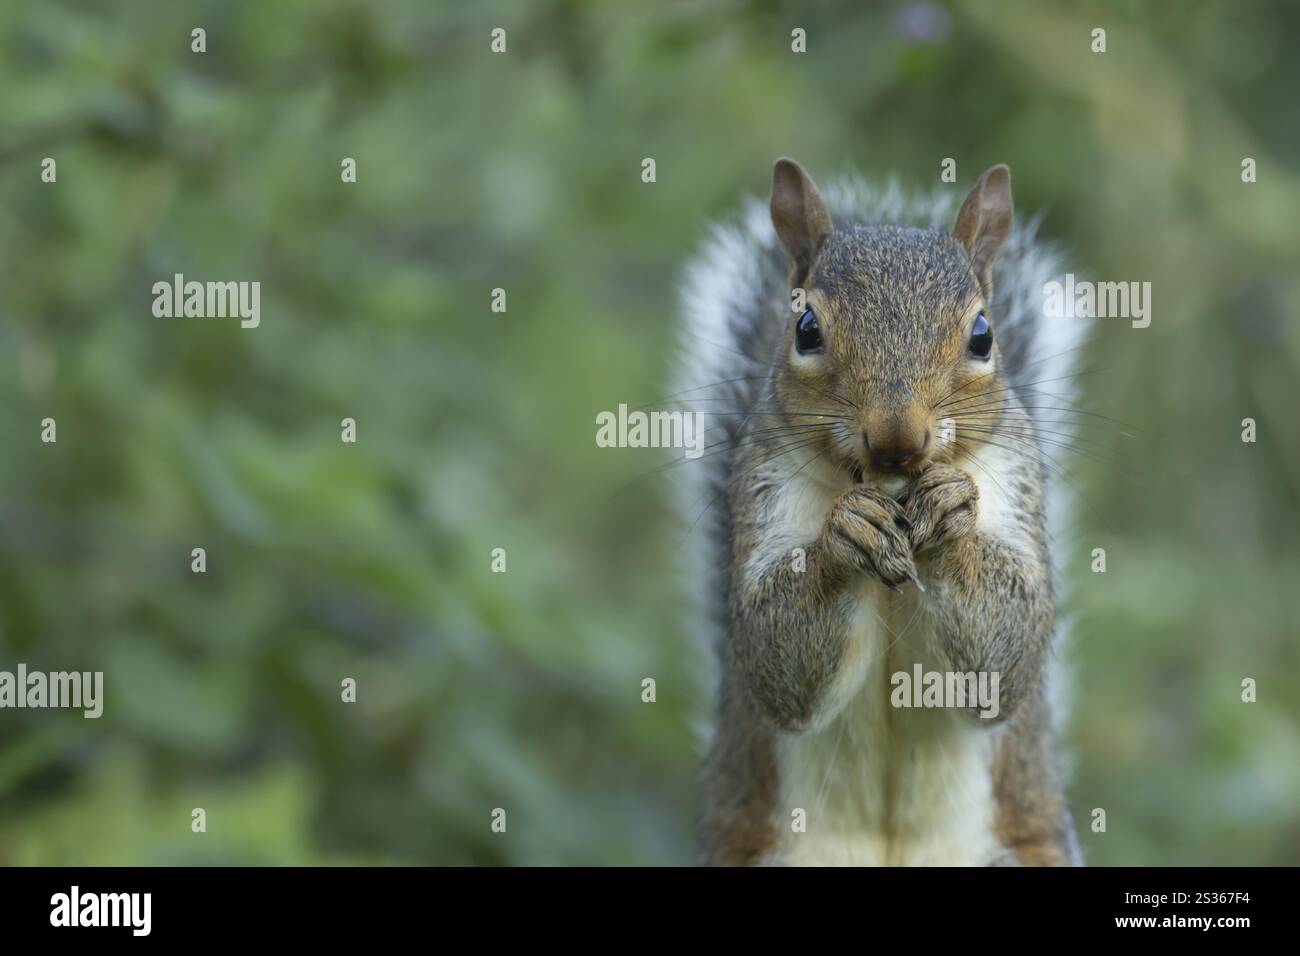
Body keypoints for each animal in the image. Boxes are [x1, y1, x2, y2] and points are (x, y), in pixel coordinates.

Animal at [673, 159, 1083, 866]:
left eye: (984, 336)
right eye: (806, 329)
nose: (898, 438)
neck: (887, 488)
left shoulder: (1016, 478)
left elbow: (1009, 650)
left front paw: (952, 515)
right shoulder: (762, 481)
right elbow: (773, 653)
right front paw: (847, 533)